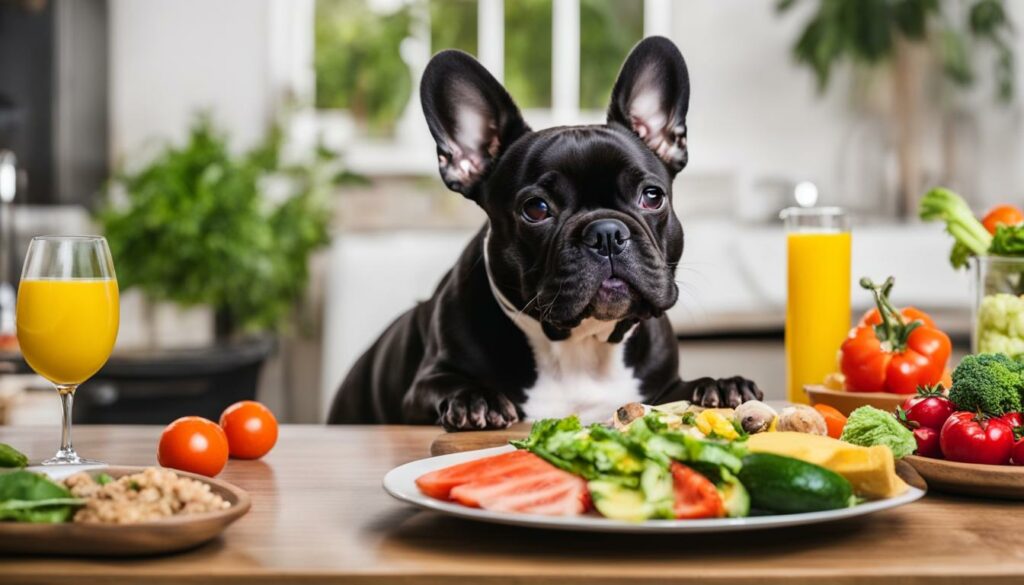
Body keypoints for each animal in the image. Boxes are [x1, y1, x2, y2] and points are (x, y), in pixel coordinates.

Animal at [329, 36, 761, 430]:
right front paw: (475, 399)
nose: (606, 233)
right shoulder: (420, 389)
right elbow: (444, 384)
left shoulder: (661, 386)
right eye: (536, 209)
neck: (580, 346)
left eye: (652, 196)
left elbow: (681, 390)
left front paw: (720, 385)